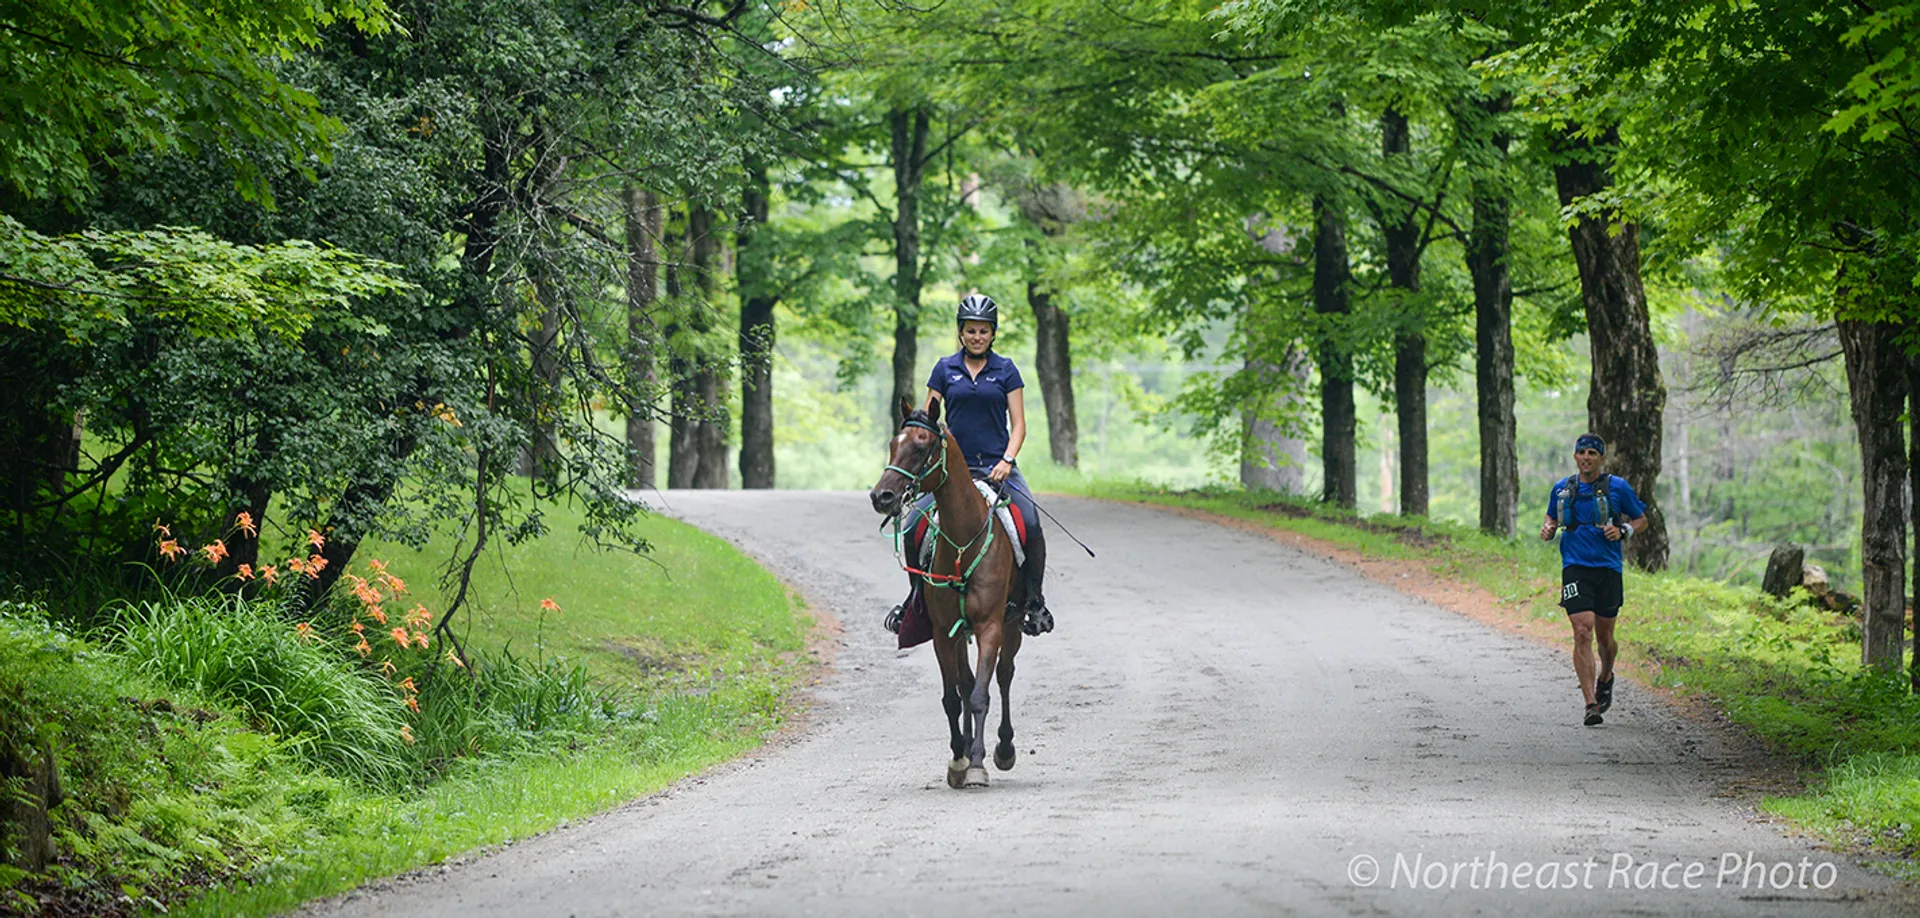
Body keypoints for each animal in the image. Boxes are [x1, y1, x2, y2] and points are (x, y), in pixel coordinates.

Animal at [867, 393, 1021, 787]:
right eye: (893, 445)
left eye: (921, 448)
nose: (881, 496)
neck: (964, 538)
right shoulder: (943, 631)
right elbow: (954, 697)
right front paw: (959, 758)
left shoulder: (990, 626)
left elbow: (981, 694)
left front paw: (978, 763)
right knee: (966, 684)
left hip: (1012, 625)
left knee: (1004, 675)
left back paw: (1004, 748)